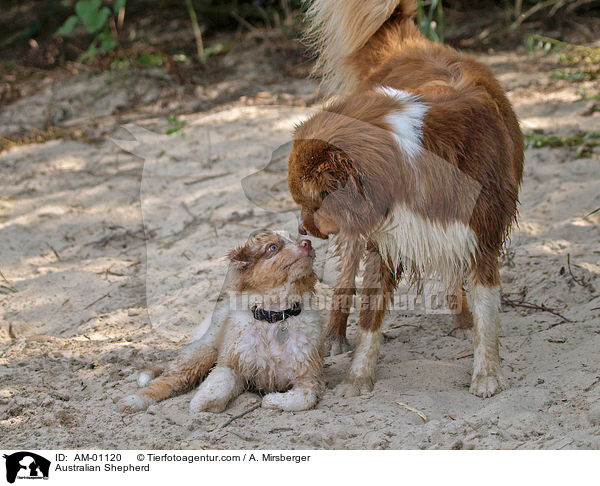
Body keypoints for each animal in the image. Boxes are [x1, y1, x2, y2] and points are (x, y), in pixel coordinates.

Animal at [118, 230, 324, 412]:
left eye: (296, 239)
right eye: (272, 247)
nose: (307, 243)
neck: (275, 318)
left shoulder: (308, 374)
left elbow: (304, 398)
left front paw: (271, 400)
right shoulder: (232, 363)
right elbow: (215, 387)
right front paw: (202, 404)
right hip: (203, 352)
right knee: (165, 380)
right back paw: (134, 400)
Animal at [288, 0, 524, 396]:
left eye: (311, 203)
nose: (303, 230)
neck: (412, 158)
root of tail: (408, 44)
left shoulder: (481, 238)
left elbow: (488, 313)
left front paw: (487, 373)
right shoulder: (383, 243)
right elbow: (370, 315)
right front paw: (358, 378)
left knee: (451, 275)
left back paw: (461, 320)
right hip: (357, 237)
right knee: (344, 281)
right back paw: (334, 335)